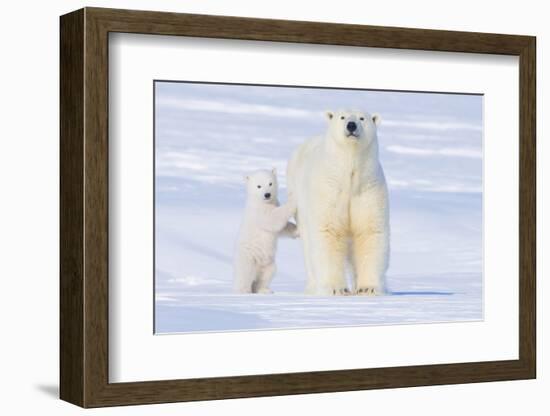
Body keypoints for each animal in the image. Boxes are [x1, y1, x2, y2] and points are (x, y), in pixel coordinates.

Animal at [286, 109, 390, 294]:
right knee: (308, 247)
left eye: (362, 118)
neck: (349, 176)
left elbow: (369, 231)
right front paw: (336, 289)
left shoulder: (368, 189)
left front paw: (368, 288)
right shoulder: (329, 190)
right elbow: (328, 231)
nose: (351, 125)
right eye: (342, 117)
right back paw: (313, 287)